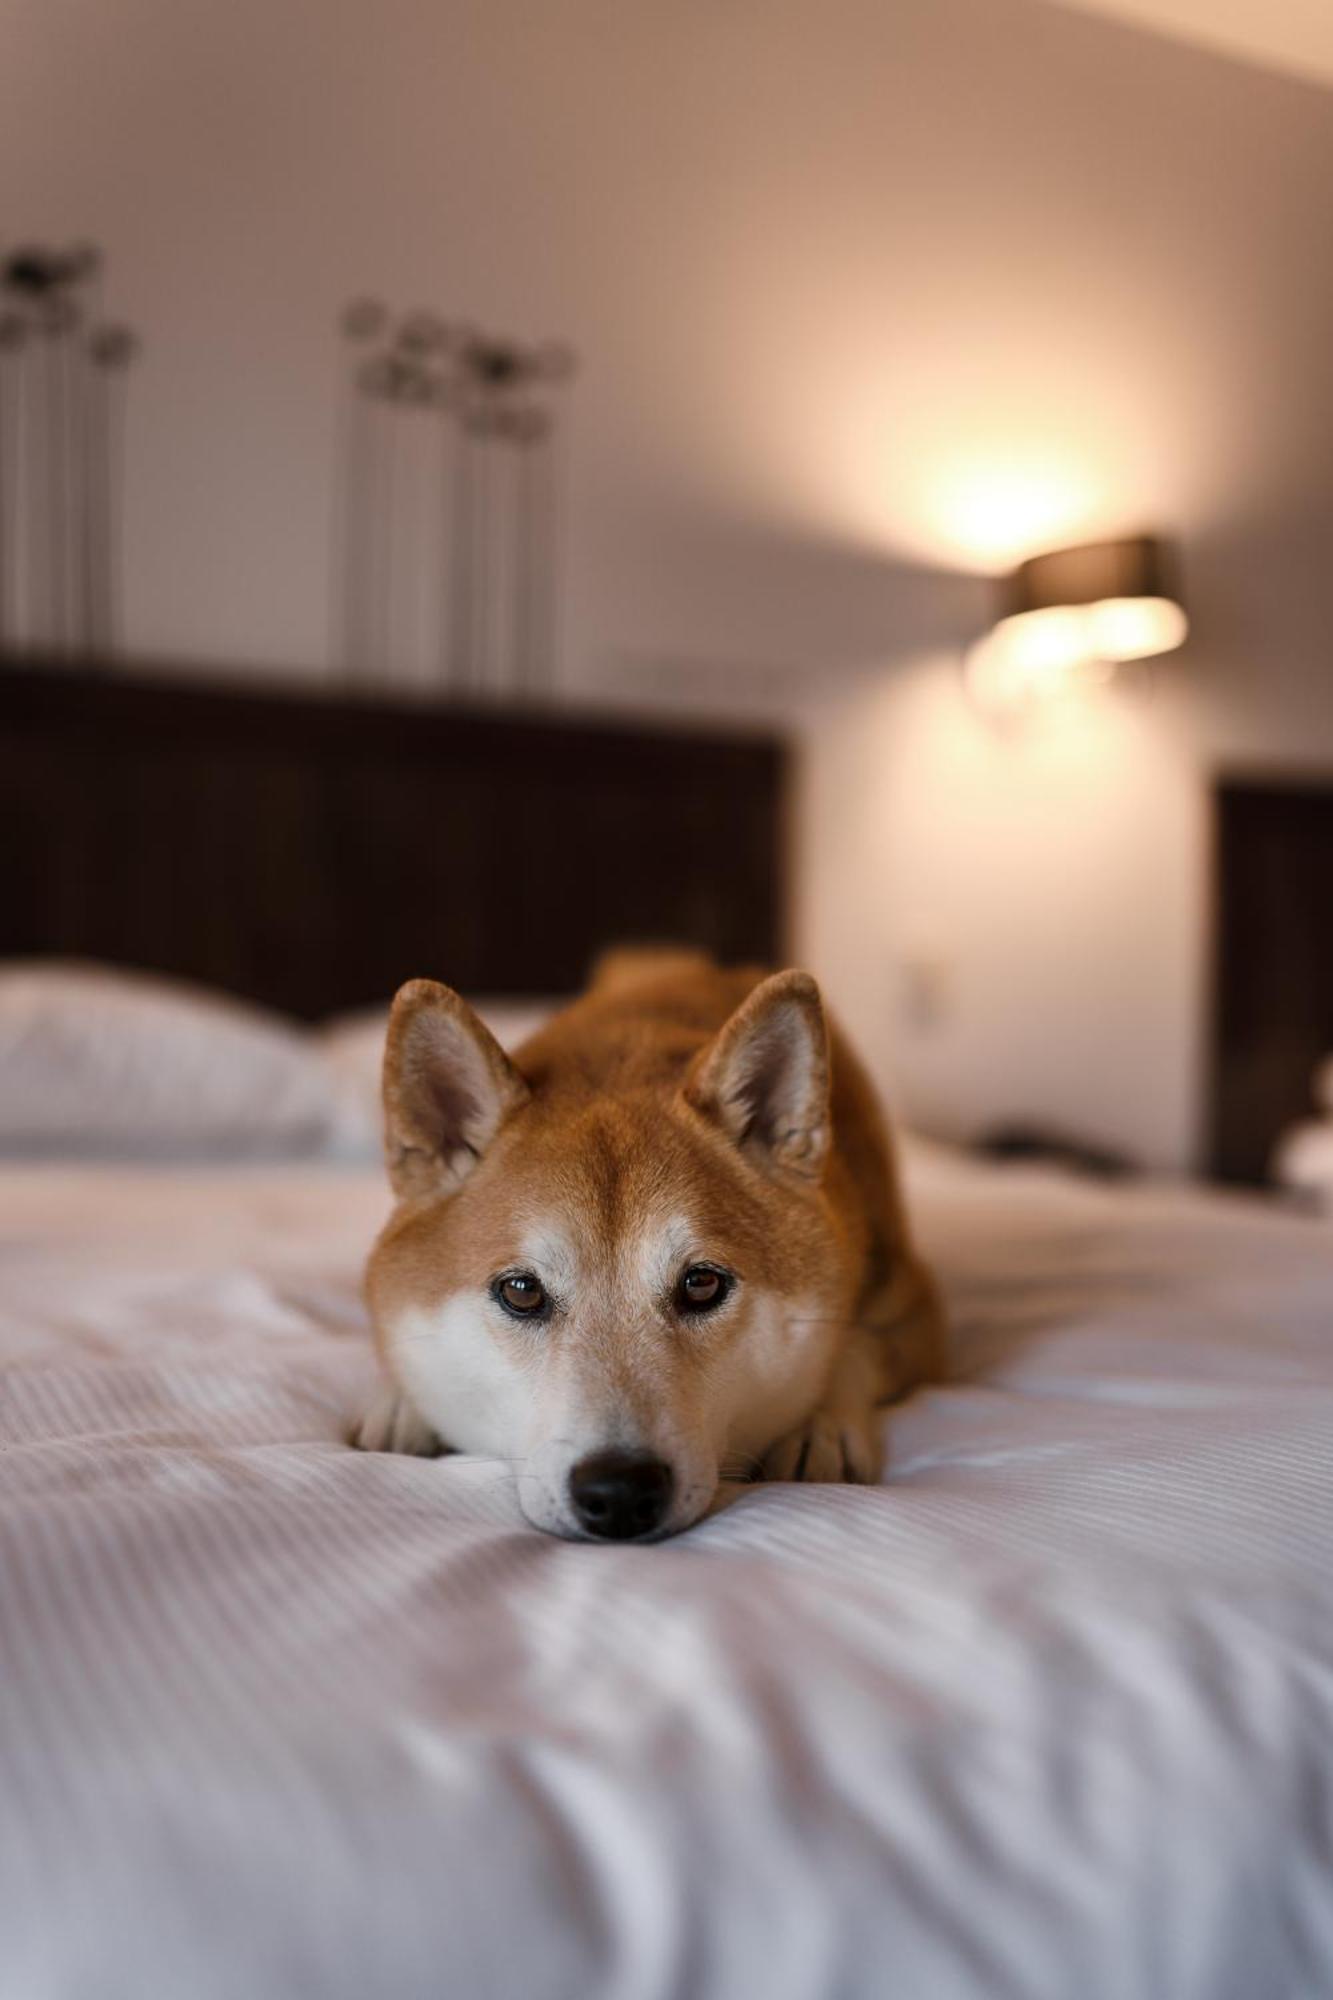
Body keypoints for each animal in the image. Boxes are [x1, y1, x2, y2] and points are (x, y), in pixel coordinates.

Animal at [356, 948, 944, 1528]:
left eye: (702, 1284)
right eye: (521, 1292)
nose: (619, 1491)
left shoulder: (912, 1309)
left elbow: (855, 1348)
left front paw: (819, 1423)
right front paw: (403, 1404)